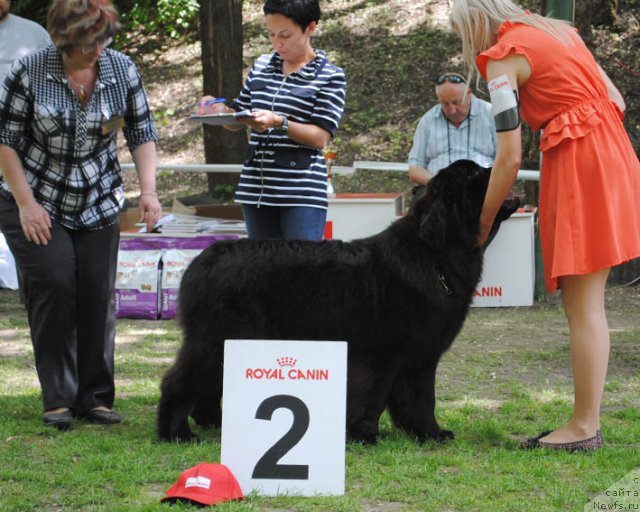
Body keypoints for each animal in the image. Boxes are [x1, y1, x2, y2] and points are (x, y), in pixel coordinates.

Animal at [159, 161, 520, 444]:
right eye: (475, 173)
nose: (503, 166)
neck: (435, 256)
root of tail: (200, 261)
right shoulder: (381, 353)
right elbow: (372, 396)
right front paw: (364, 434)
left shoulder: (420, 356)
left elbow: (420, 400)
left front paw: (429, 433)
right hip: (216, 339)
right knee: (178, 383)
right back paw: (175, 433)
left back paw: (214, 423)